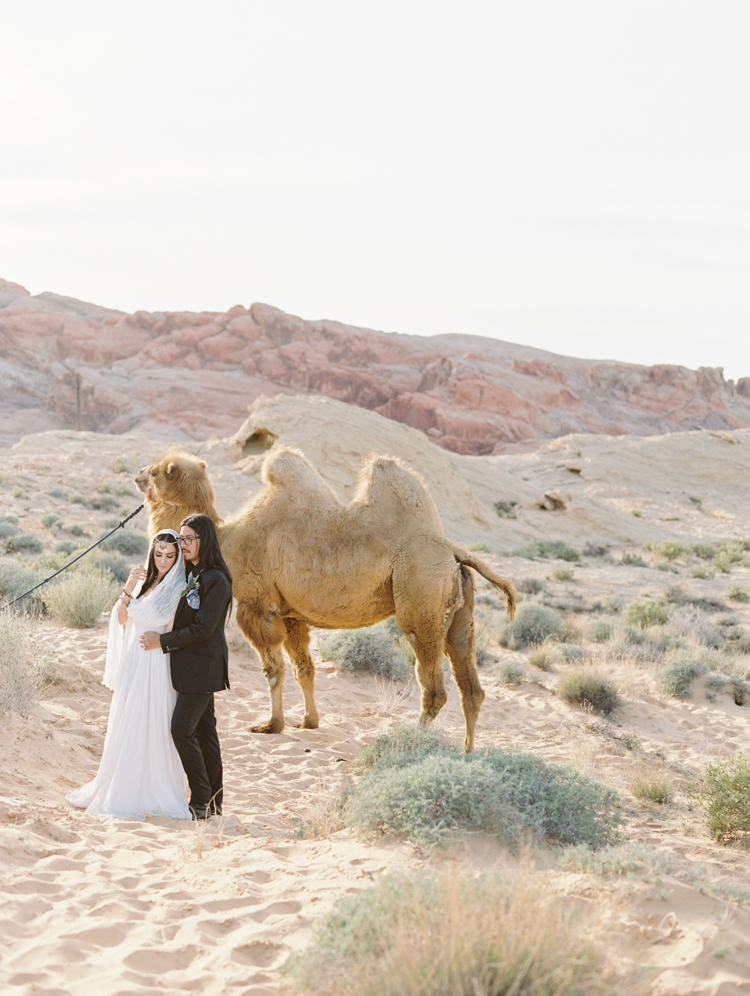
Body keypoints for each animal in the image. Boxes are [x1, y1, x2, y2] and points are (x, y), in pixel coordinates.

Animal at [135, 448, 516, 752]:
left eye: (156, 471)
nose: (138, 474)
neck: (224, 540)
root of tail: (452, 550)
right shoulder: (290, 614)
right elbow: (304, 669)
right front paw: (309, 721)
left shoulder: (258, 606)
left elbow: (273, 671)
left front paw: (271, 725)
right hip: (458, 609)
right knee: (470, 682)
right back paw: (467, 751)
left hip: (421, 592)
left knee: (433, 682)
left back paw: (411, 741)